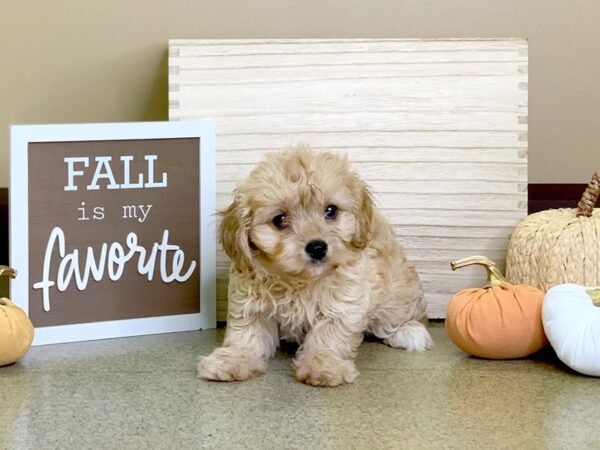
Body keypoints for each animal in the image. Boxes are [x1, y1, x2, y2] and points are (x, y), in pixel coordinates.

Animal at [199, 148, 434, 386]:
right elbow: (246, 335)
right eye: (279, 220)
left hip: (396, 290)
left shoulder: (345, 301)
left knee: (401, 314)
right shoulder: (251, 302)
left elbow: (329, 334)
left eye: (331, 211)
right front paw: (232, 360)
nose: (317, 247)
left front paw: (323, 366)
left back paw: (410, 331)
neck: (299, 280)